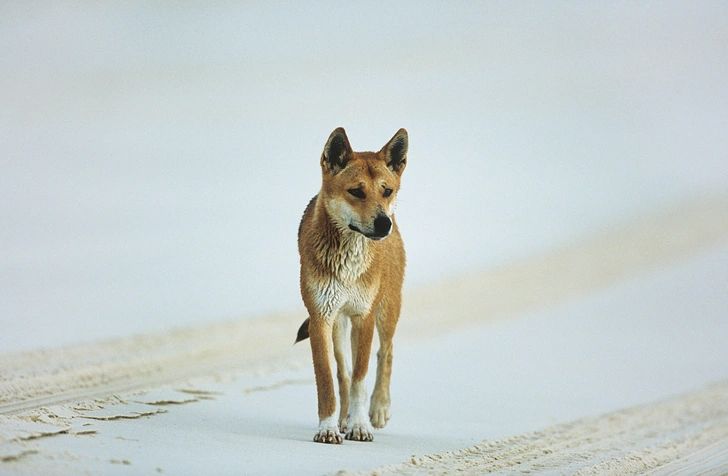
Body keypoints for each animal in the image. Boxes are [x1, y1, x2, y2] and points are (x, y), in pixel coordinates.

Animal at [298, 126, 410, 442]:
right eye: (356, 192)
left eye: (386, 191)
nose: (383, 223)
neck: (348, 263)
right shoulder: (321, 318)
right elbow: (329, 379)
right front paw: (328, 427)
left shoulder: (364, 316)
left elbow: (361, 377)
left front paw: (360, 424)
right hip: (338, 323)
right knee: (342, 371)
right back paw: (343, 419)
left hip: (387, 309)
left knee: (386, 352)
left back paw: (379, 409)